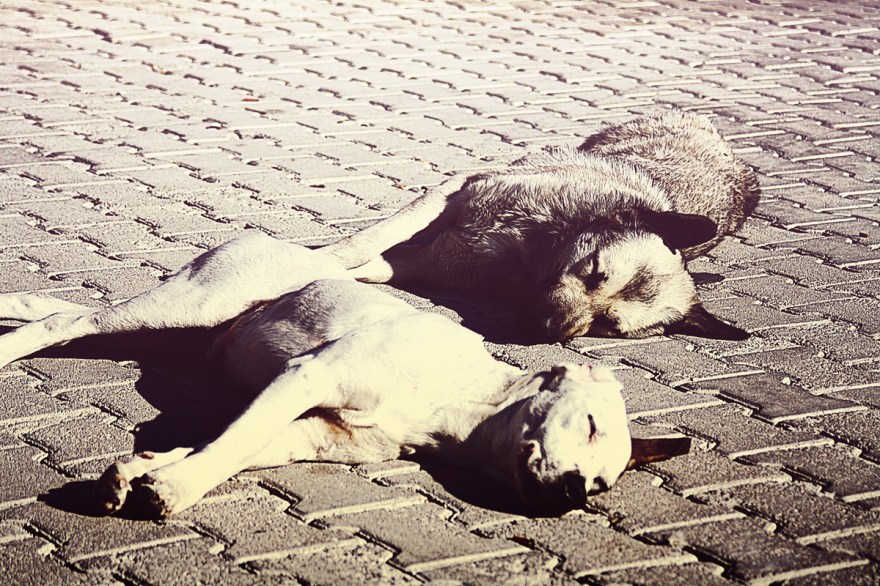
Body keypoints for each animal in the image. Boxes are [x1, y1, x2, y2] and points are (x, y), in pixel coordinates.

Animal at [0, 232, 689, 518]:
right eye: (591, 424)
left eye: (603, 484)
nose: (575, 493)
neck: (457, 410)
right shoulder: (306, 379)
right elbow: (231, 445)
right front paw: (174, 489)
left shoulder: (310, 432)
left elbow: (227, 446)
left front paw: (148, 471)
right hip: (191, 304)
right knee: (65, 321)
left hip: (172, 327)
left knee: (58, 311)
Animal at [330, 113, 759, 342]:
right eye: (594, 272)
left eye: (608, 324)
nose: (547, 328)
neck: (532, 253)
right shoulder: (453, 194)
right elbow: (360, 245)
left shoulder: (431, 263)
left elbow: (369, 265)